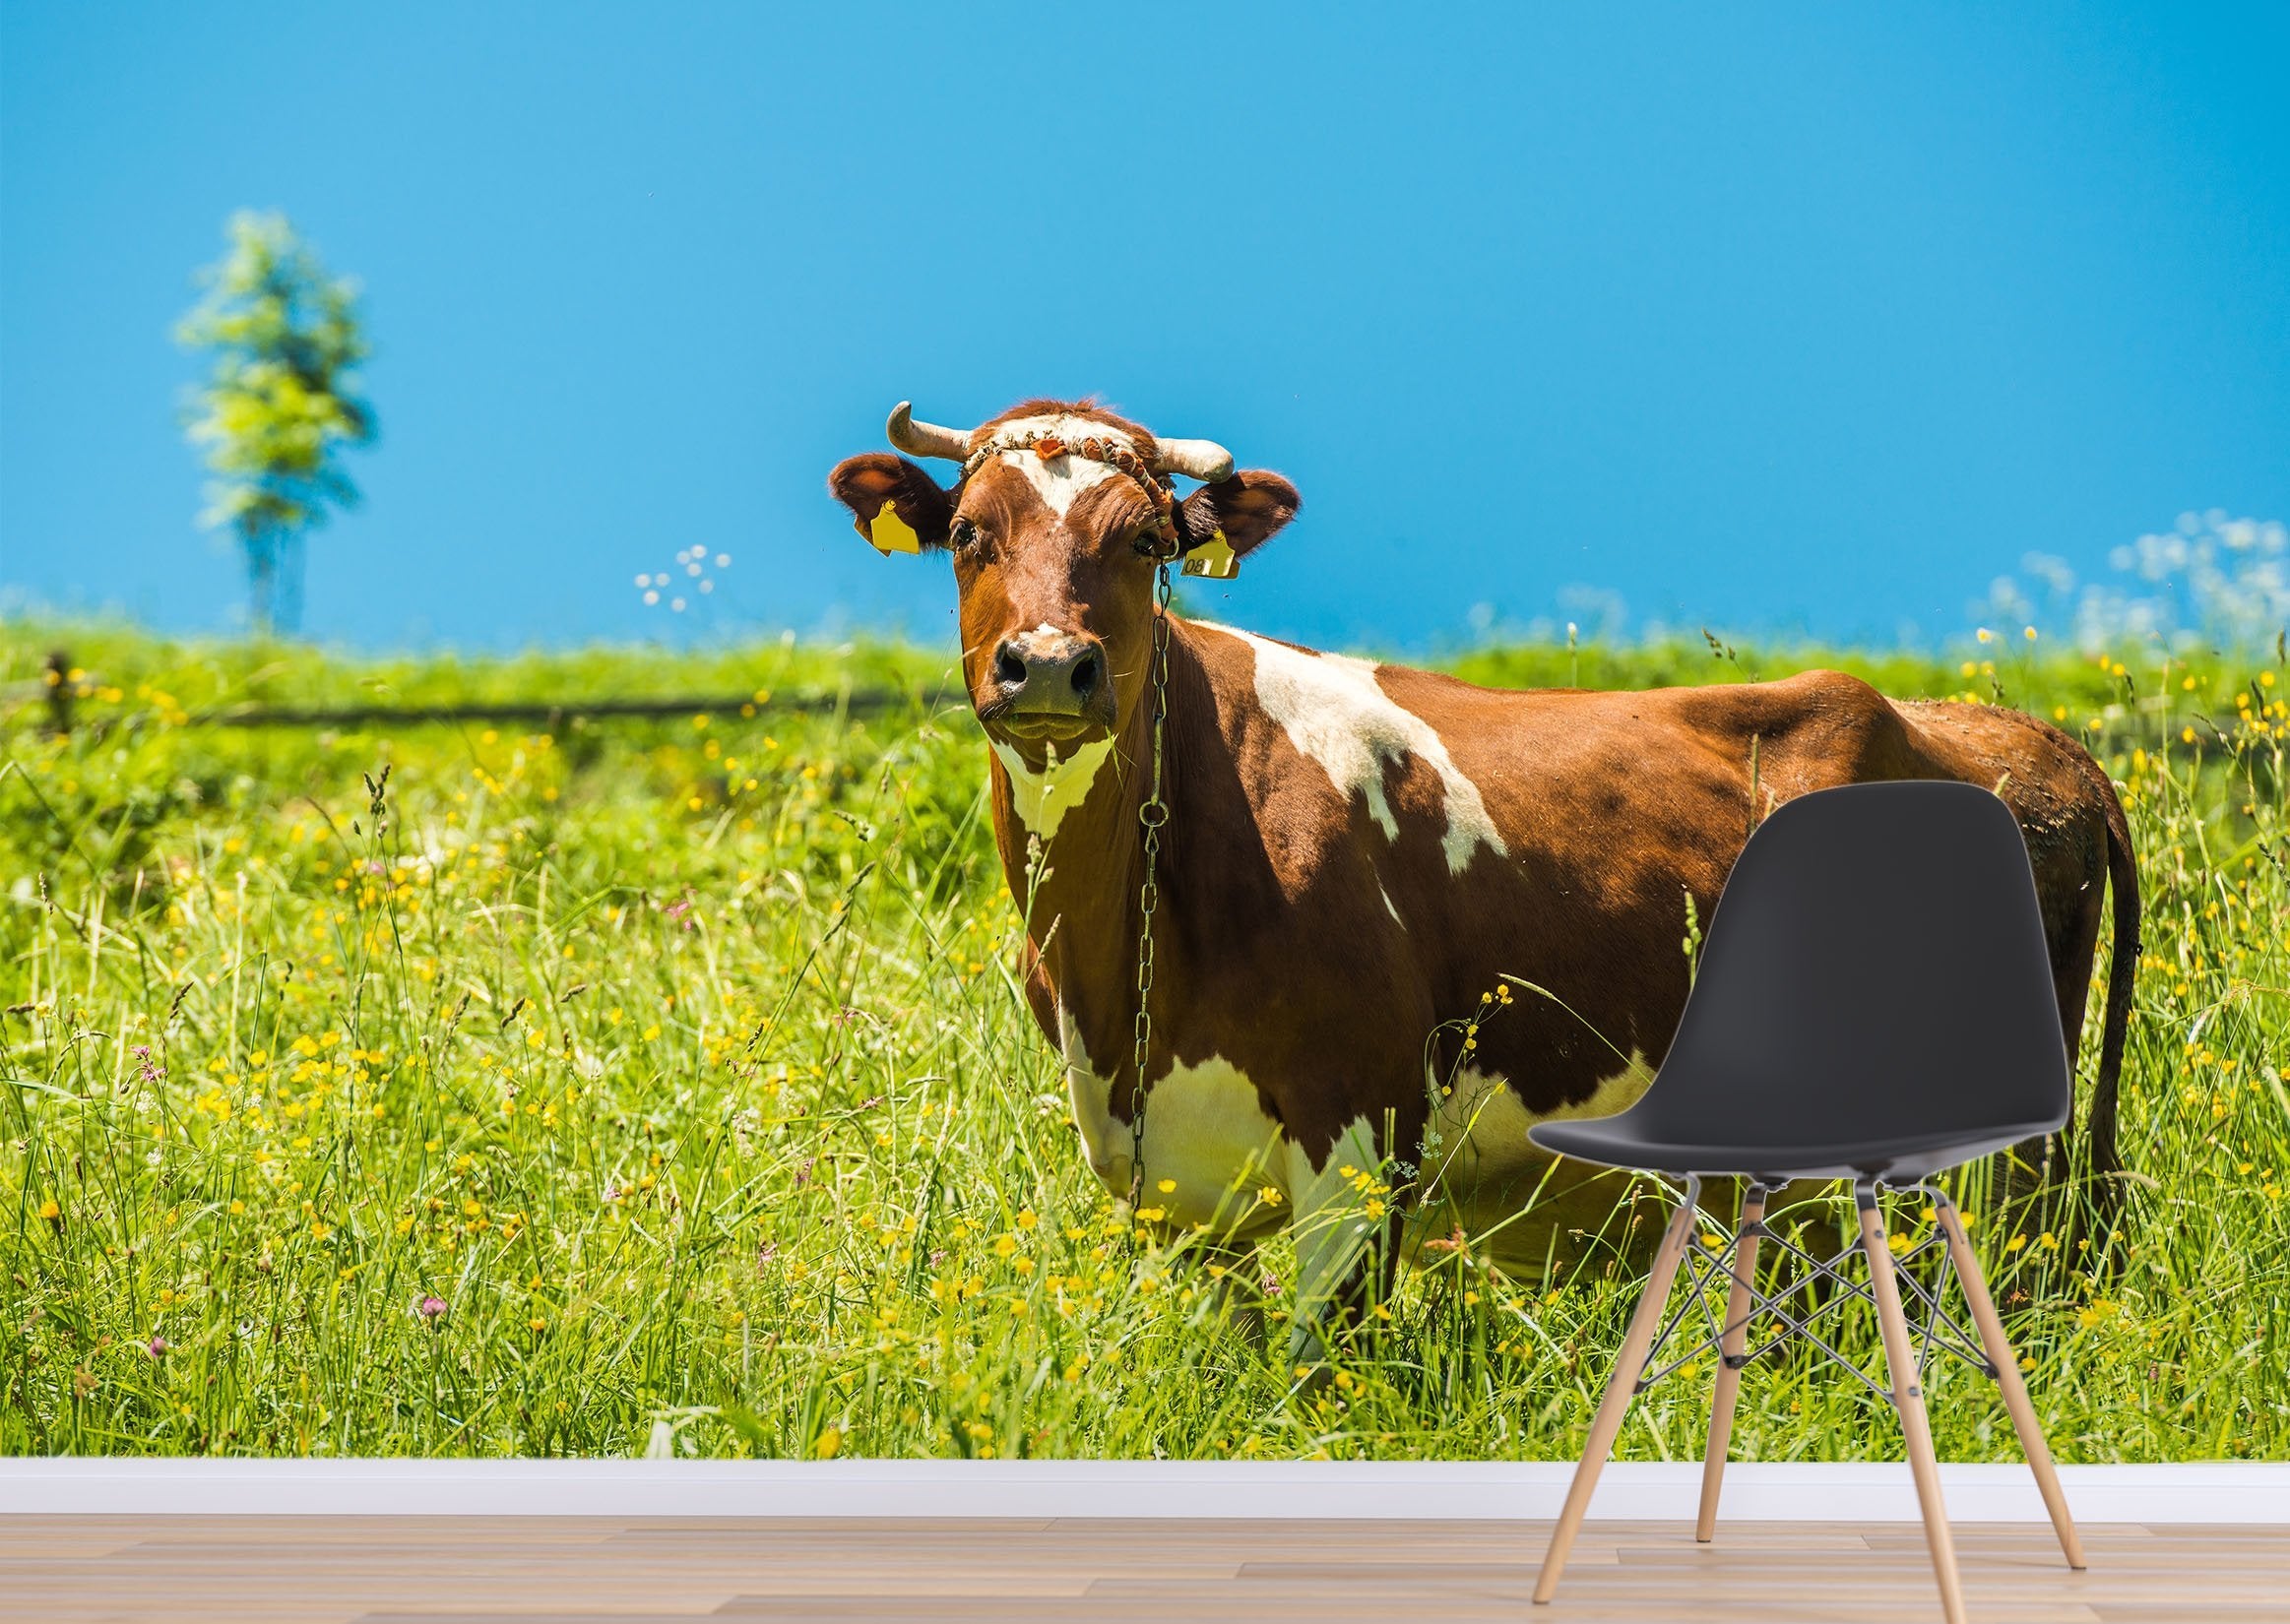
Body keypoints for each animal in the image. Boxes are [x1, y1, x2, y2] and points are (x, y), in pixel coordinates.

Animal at [828, 397, 2138, 1360]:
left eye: (1146, 541)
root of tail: (2018, 736)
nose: (1050, 666)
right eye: (967, 533)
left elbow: (1317, 1379)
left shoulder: (1362, 1142)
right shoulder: (1158, 1176)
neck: (1128, 974)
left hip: (2001, 1160)